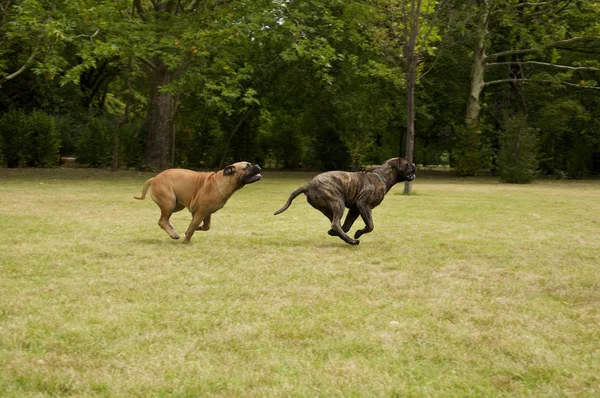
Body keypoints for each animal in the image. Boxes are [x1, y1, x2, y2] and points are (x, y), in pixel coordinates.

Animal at [274, 157, 414, 244]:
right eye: (406, 164)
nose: (414, 165)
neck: (382, 177)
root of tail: (308, 185)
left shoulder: (355, 209)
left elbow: (347, 225)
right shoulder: (363, 205)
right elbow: (370, 225)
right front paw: (358, 233)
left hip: (328, 208)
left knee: (337, 225)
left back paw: (337, 234)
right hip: (338, 202)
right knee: (336, 224)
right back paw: (352, 241)